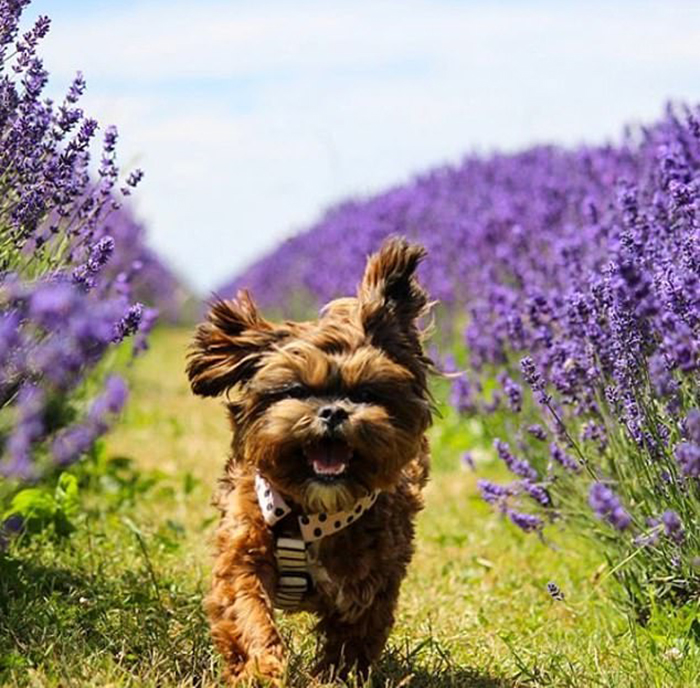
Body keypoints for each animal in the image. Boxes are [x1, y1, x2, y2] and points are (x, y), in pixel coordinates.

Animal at [189, 236, 434, 684]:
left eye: (366, 394)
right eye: (297, 390)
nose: (333, 411)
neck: (309, 511)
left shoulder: (369, 583)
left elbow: (354, 637)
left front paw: (336, 677)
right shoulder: (243, 553)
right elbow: (248, 613)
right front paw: (261, 669)